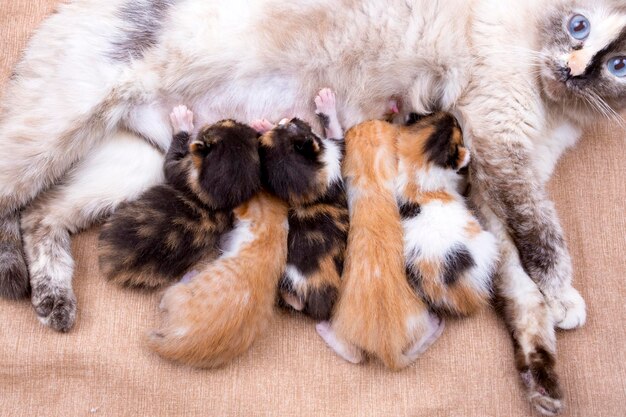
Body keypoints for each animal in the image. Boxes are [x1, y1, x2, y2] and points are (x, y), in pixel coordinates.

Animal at [98, 105, 260, 288]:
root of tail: (110, 263)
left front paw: (181, 121)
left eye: (217, 125)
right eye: (229, 123)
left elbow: (169, 163)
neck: (213, 199)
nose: (230, 119)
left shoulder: (182, 172)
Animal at [254, 89, 352, 320]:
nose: (292, 117)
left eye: (286, 125)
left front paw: (262, 126)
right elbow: (335, 129)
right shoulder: (338, 150)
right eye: (292, 124)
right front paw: (326, 101)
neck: (310, 192)